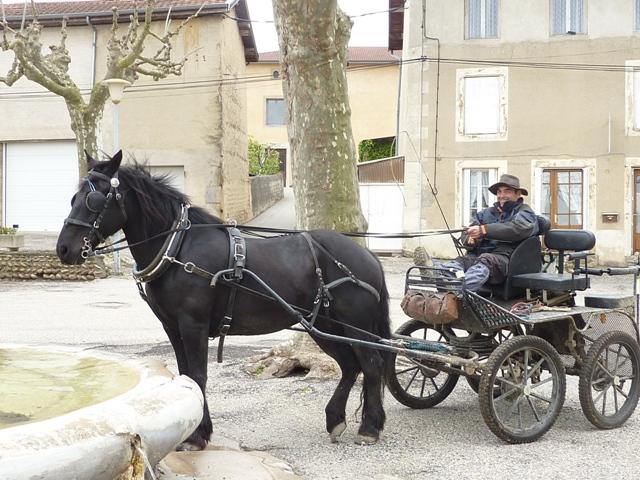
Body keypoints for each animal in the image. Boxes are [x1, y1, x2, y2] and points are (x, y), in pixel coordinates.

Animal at [57, 152, 392, 448]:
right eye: (73, 198)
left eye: (94, 200)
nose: (63, 249)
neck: (178, 248)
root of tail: (368, 256)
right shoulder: (171, 326)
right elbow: (186, 378)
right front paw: (196, 431)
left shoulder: (193, 324)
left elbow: (198, 376)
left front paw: (197, 436)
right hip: (323, 326)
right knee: (350, 366)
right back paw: (335, 419)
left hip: (356, 326)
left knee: (372, 365)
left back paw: (369, 427)